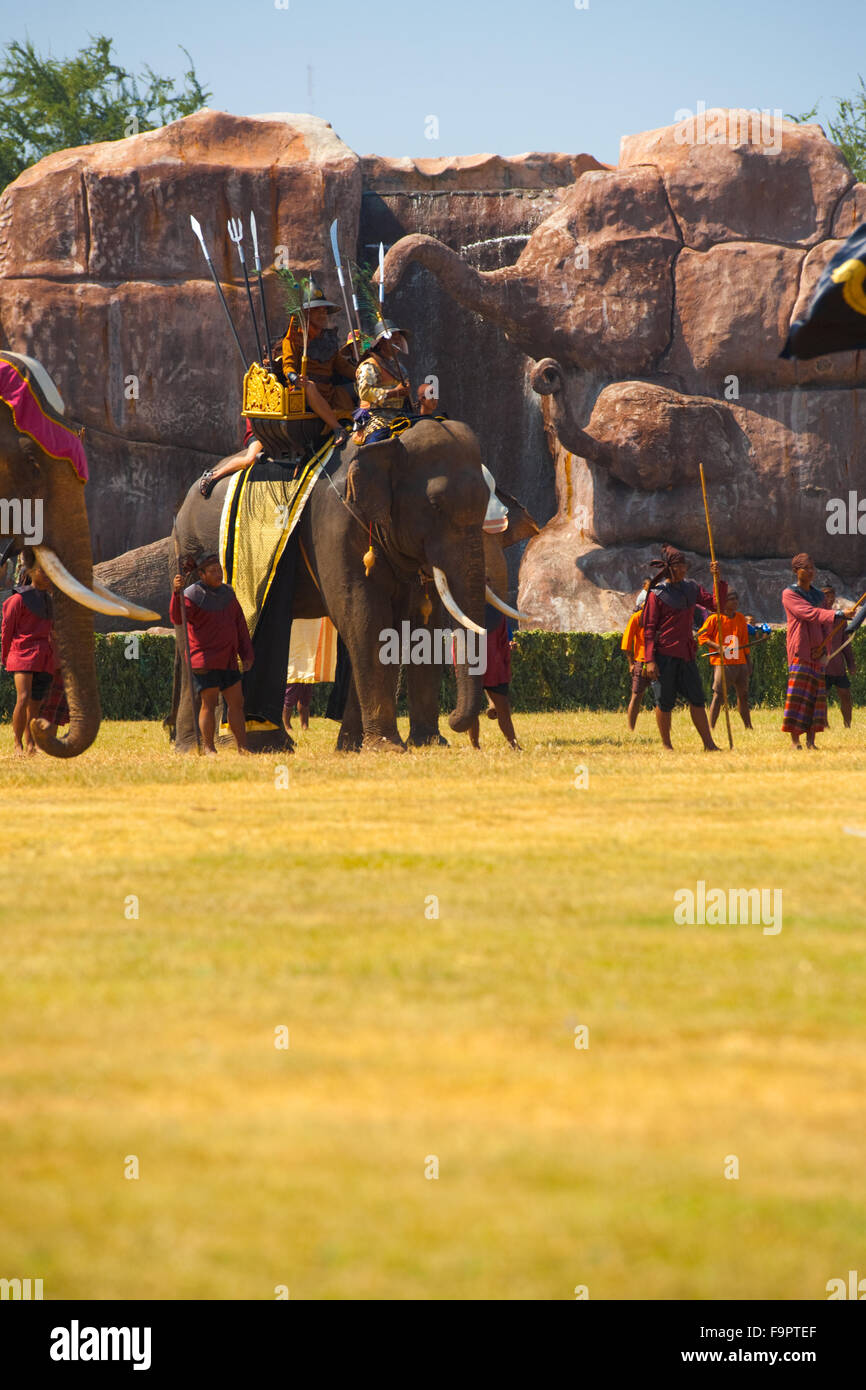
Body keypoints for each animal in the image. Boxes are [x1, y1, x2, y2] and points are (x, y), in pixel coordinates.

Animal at [166, 417, 530, 756]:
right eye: (436, 506)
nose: (459, 719)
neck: (389, 440)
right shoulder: (335, 521)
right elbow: (364, 617)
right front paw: (387, 747)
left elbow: (416, 622)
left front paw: (414, 745)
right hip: (193, 549)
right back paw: (220, 746)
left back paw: (257, 745)